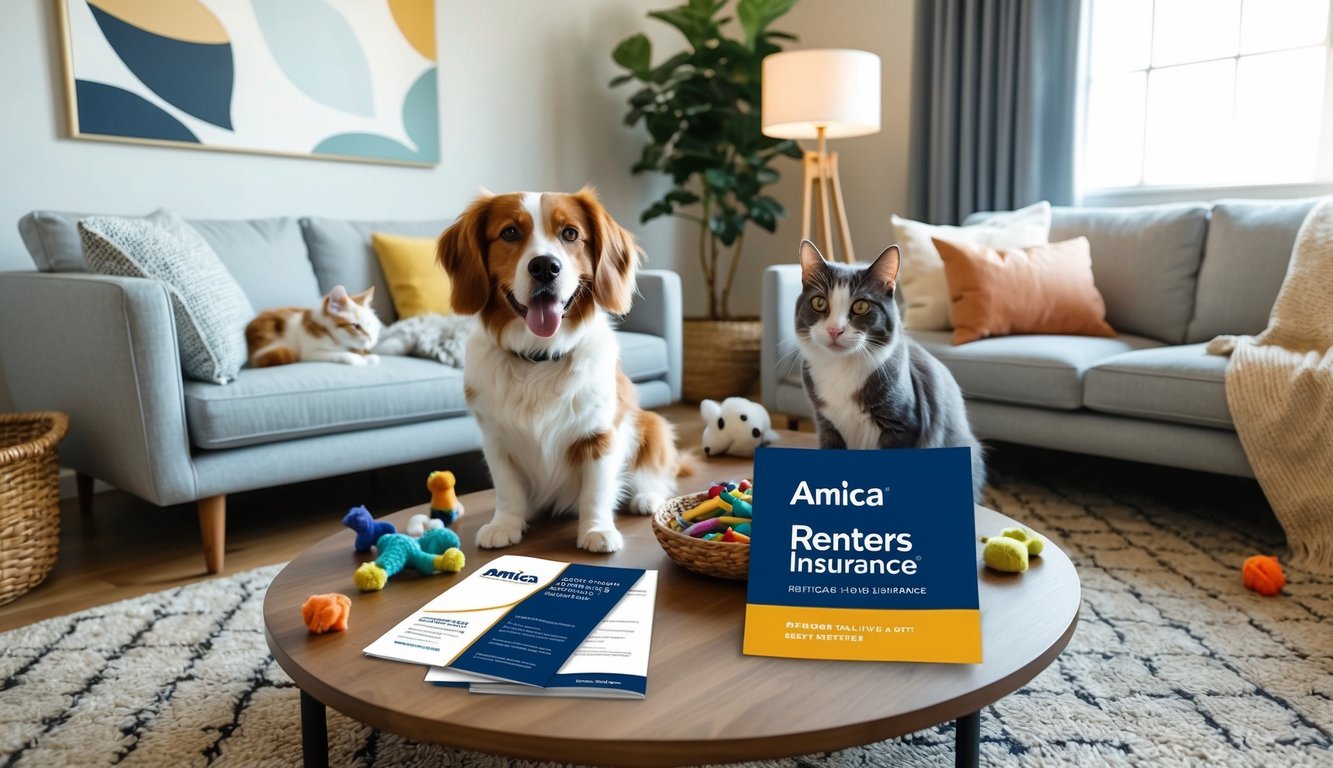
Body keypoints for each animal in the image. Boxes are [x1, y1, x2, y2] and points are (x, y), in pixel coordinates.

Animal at [245, 285, 383, 365]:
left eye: (370, 325)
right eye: (356, 326)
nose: (371, 338)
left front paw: (367, 356)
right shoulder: (308, 352)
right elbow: (338, 354)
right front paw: (356, 357)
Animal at [442, 189, 682, 554]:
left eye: (570, 233)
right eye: (509, 232)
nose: (545, 267)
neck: (539, 357)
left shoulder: (600, 435)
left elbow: (596, 490)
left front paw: (597, 529)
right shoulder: (496, 440)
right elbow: (507, 490)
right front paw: (505, 524)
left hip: (651, 424)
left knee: (655, 475)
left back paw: (646, 497)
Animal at [794, 241, 986, 504]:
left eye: (861, 306)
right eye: (819, 303)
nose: (835, 330)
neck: (841, 367)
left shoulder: (903, 426)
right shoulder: (827, 425)